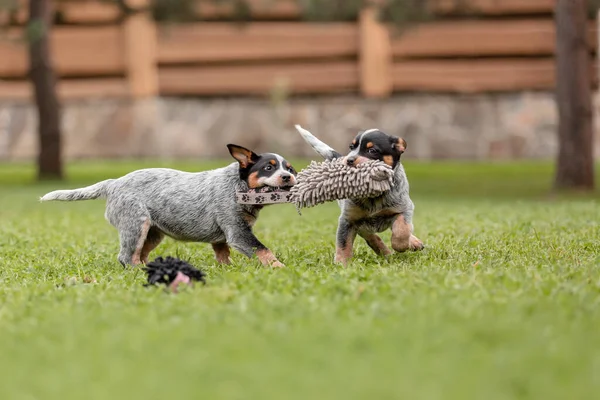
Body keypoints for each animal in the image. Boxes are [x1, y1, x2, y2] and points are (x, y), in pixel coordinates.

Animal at [39, 145, 298, 268]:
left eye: (290, 168)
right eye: (268, 167)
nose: (288, 177)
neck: (237, 185)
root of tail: (113, 183)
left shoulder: (224, 236)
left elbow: (222, 254)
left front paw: (226, 269)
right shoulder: (238, 232)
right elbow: (263, 250)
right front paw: (281, 267)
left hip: (153, 233)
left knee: (139, 254)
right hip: (135, 225)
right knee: (126, 257)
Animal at [292, 125, 424, 266]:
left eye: (372, 150)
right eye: (351, 147)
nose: (349, 159)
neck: (374, 196)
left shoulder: (404, 208)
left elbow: (402, 230)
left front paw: (402, 245)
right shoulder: (348, 219)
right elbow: (343, 243)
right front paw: (341, 264)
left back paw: (414, 243)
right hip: (361, 224)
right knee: (371, 236)